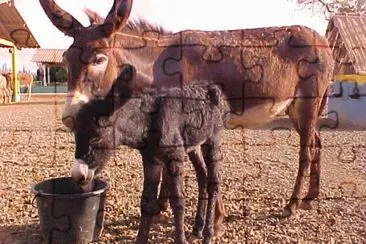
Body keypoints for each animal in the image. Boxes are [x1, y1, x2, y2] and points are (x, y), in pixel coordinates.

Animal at [72, 75, 229, 243]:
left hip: (212, 139)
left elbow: (178, 201)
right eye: (75, 137)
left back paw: (208, 234)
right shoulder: (151, 161)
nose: (78, 175)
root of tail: (210, 86)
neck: (148, 121)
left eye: (96, 138)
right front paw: (140, 239)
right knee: (202, 176)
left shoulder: (175, 157)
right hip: (194, 145)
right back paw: (197, 229)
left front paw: (180, 239)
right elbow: (146, 202)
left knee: (213, 183)